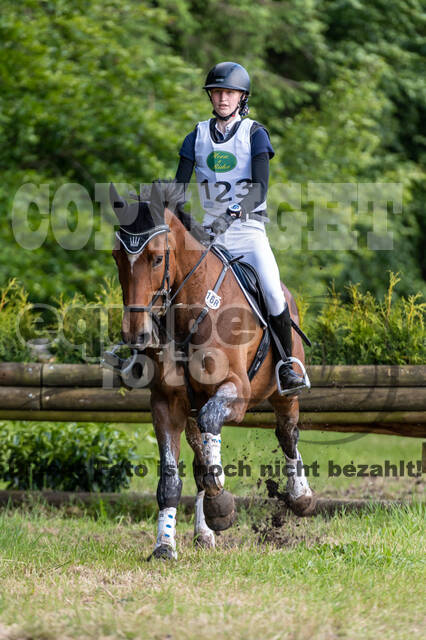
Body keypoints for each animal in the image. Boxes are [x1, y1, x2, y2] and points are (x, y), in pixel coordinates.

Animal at [108, 180, 315, 560]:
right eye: (117, 258)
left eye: (156, 257)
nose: (137, 334)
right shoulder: (166, 403)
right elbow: (172, 477)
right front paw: (164, 546)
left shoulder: (237, 391)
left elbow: (212, 435)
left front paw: (221, 508)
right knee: (200, 455)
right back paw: (203, 533)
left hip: (282, 392)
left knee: (286, 432)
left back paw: (300, 496)